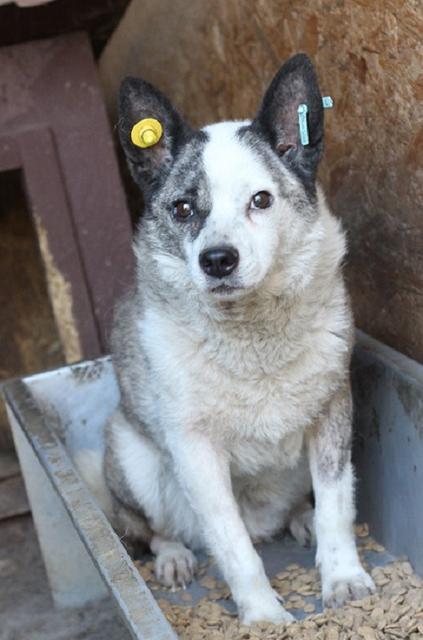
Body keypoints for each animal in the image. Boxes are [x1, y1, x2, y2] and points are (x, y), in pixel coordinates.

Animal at [78, 52, 376, 624]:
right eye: (182, 208)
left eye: (261, 200)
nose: (217, 260)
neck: (251, 335)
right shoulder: (197, 454)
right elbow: (234, 545)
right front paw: (263, 617)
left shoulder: (332, 415)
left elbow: (335, 508)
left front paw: (343, 579)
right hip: (135, 460)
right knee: (150, 529)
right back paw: (173, 556)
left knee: (300, 507)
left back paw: (300, 520)